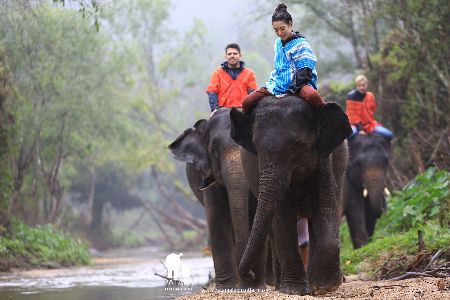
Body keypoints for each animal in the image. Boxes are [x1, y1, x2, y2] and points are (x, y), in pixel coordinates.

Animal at [169, 107, 268, 288]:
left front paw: (256, 286)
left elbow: (255, 216)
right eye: (215, 150)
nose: (249, 275)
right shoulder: (208, 175)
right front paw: (228, 287)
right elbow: (217, 217)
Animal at [229, 96, 352, 296]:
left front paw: (325, 287)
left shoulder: (325, 159)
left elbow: (326, 205)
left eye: (297, 145)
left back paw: (312, 285)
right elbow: (283, 216)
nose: (250, 274)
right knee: (273, 231)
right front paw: (294, 291)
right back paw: (282, 287)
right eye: (256, 147)